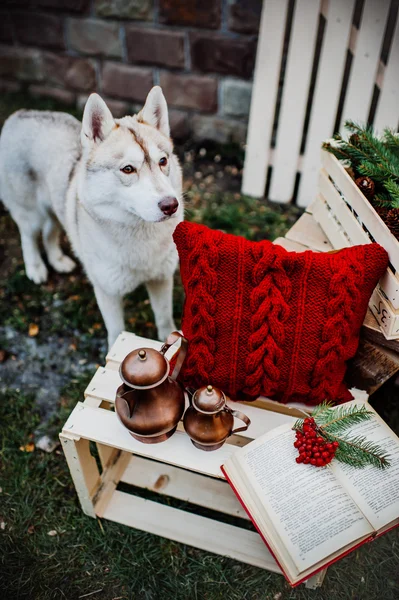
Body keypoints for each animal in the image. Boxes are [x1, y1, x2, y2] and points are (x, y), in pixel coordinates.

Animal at [0, 85, 184, 346]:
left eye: (163, 161)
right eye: (128, 169)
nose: (171, 205)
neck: (140, 237)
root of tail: (18, 114)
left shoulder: (161, 278)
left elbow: (164, 319)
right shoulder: (107, 291)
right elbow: (117, 333)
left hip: (56, 209)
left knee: (50, 232)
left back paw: (58, 260)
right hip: (31, 214)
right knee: (29, 236)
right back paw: (35, 268)